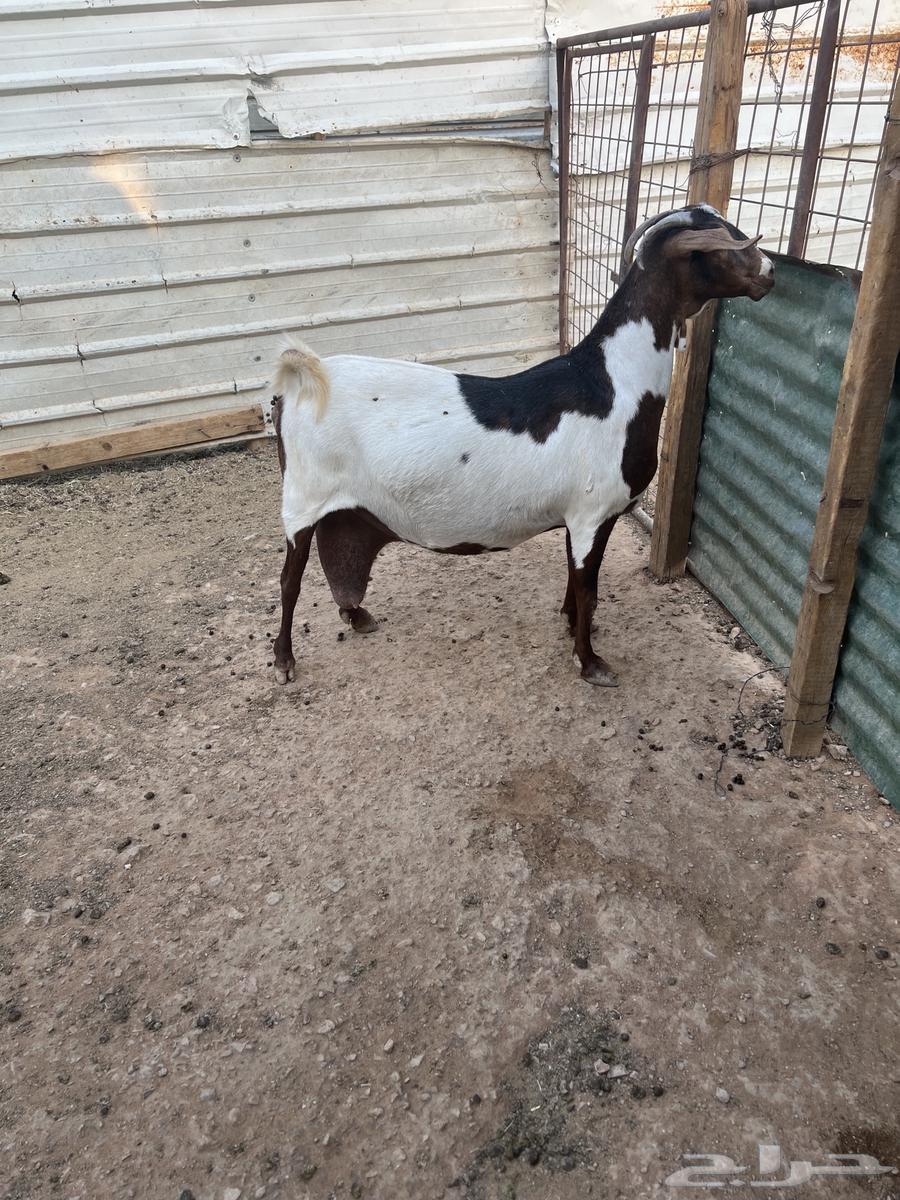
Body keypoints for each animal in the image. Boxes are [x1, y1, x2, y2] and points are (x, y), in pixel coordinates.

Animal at [269, 204, 774, 687]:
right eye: (722, 246)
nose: (769, 271)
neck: (615, 385)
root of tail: (299, 384)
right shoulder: (593, 513)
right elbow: (589, 587)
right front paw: (590, 663)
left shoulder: (580, 517)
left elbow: (576, 582)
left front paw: (571, 626)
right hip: (302, 499)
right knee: (290, 579)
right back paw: (283, 661)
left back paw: (356, 616)